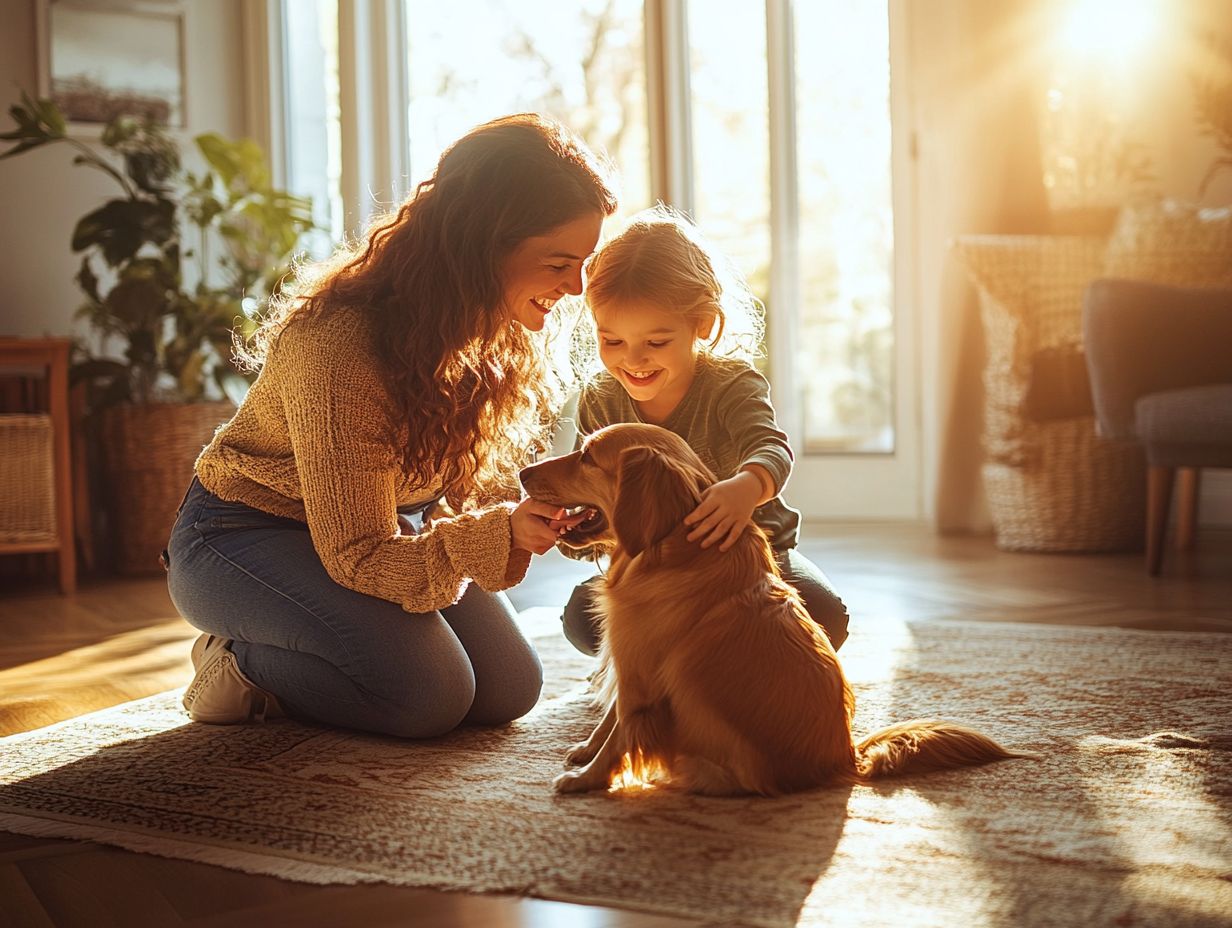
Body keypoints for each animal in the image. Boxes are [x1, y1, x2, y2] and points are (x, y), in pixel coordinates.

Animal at [519, 423, 1029, 793]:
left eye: (588, 456)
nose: (522, 473)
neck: (669, 548)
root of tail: (847, 762)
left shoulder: (641, 674)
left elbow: (621, 733)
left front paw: (586, 779)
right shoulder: (629, 662)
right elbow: (610, 719)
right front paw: (586, 750)